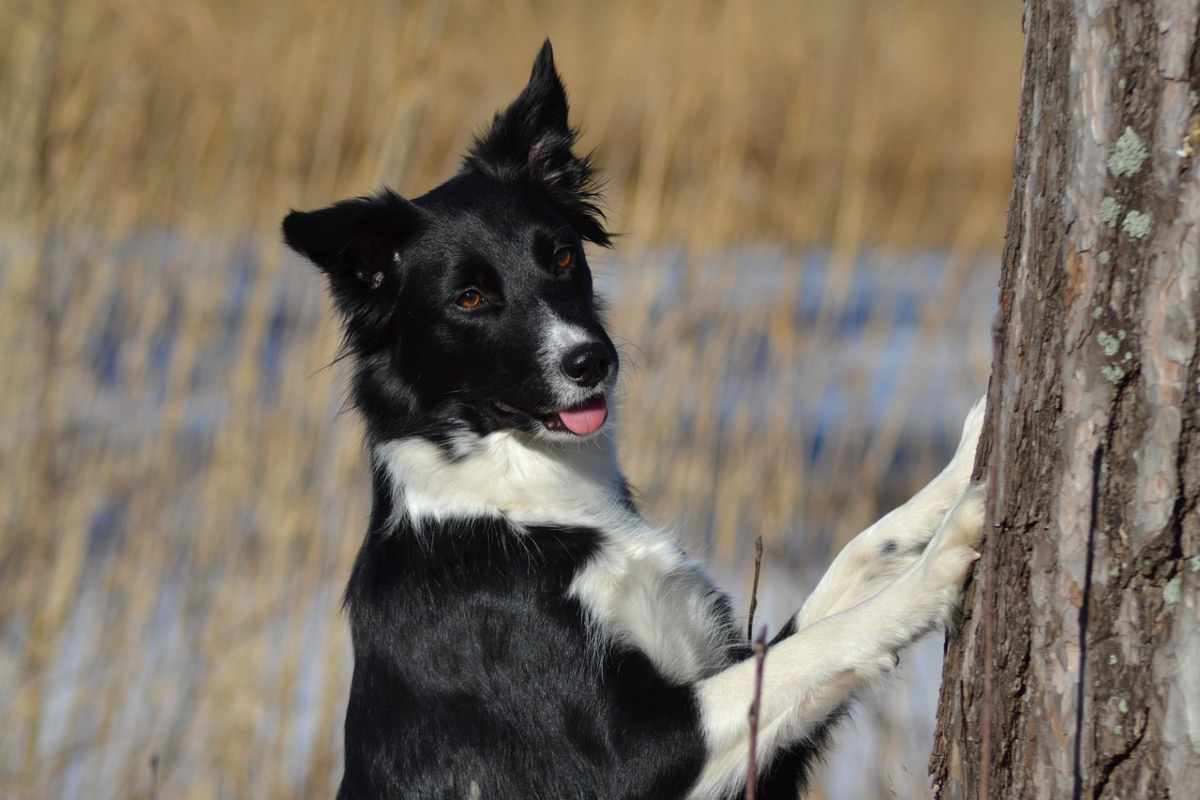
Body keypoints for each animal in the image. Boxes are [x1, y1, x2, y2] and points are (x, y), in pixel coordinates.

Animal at [285, 42, 988, 800]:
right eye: (469, 297)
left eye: (562, 256)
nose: (591, 360)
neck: (525, 496)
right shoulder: (621, 764)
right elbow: (818, 645)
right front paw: (939, 567)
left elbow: (850, 566)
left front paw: (963, 465)